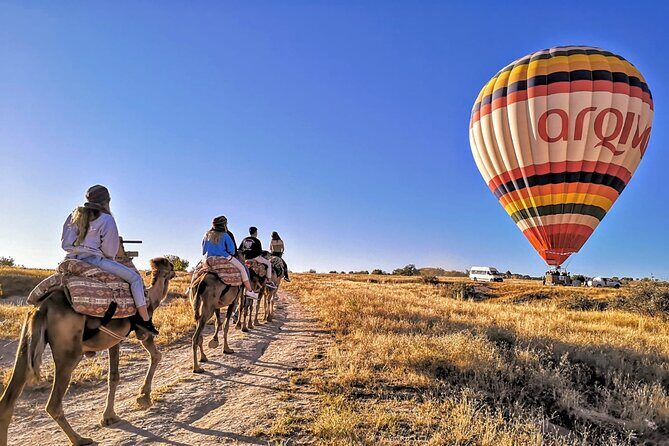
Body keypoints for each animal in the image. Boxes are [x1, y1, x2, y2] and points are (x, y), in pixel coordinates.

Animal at [0, 257, 175, 446]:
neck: (151, 297)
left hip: (27, 340)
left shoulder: (114, 340)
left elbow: (113, 377)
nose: (174, 271)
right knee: (53, 404)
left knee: (8, 401)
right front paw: (144, 397)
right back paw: (79, 439)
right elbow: (156, 356)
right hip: (69, 353)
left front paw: (109, 417)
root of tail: (43, 307)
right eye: (170, 267)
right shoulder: (143, 332)